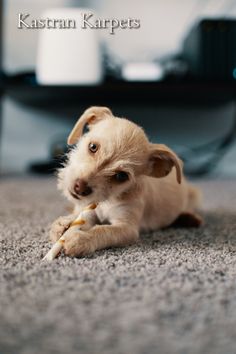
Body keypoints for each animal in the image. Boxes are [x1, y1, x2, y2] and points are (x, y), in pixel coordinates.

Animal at [49, 106, 201, 256]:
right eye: (93, 147)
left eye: (121, 176)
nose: (80, 188)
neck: (108, 200)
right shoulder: (88, 212)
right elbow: (79, 218)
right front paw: (64, 224)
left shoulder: (127, 228)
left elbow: (103, 230)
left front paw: (80, 239)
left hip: (195, 195)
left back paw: (189, 218)